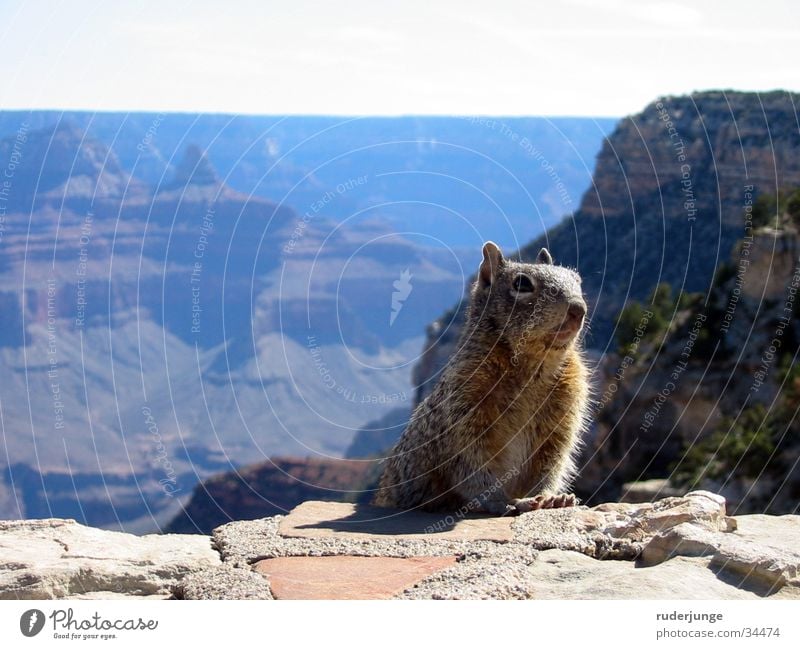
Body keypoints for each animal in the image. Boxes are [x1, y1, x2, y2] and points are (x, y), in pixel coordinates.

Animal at [372, 240, 592, 512]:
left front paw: (551, 497)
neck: (535, 365)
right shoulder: (464, 416)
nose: (578, 309)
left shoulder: (561, 424)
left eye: (577, 280)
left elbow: (549, 468)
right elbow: (474, 467)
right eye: (522, 284)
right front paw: (501, 502)